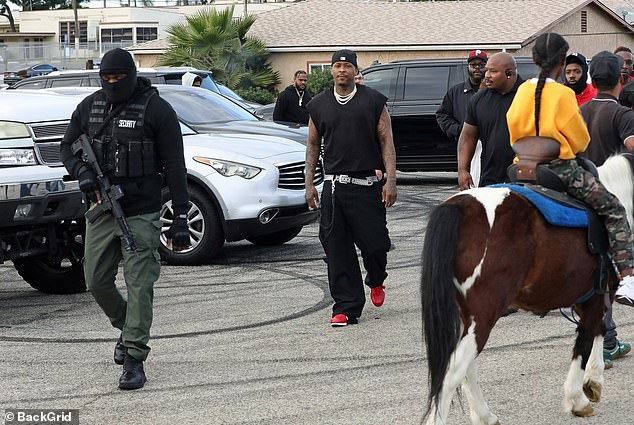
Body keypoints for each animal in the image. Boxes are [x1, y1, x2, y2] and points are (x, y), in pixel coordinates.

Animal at [420, 153, 632, 424]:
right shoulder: (596, 295)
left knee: (467, 367)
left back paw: (484, 415)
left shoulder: (589, 298)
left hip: (467, 318)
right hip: (483, 316)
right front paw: (578, 397)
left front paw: (592, 382)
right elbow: (586, 339)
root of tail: (459, 206)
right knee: (453, 371)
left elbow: (598, 330)